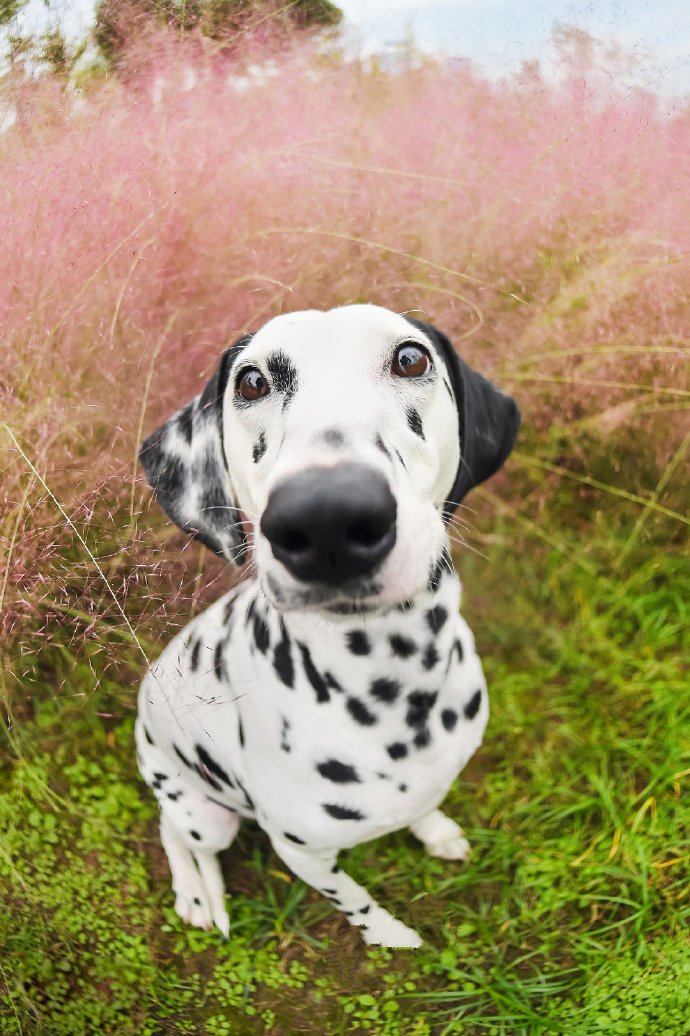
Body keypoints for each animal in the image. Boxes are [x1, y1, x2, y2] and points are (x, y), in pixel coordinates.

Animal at [135, 302, 515, 948]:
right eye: (251, 382)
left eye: (410, 357)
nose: (327, 515)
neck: (394, 691)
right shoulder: (302, 853)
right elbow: (353, 899)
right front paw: (388, 933)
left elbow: (423, 808)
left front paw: (435, 830)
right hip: (202, 812)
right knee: (175, 833)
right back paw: (197, 894)